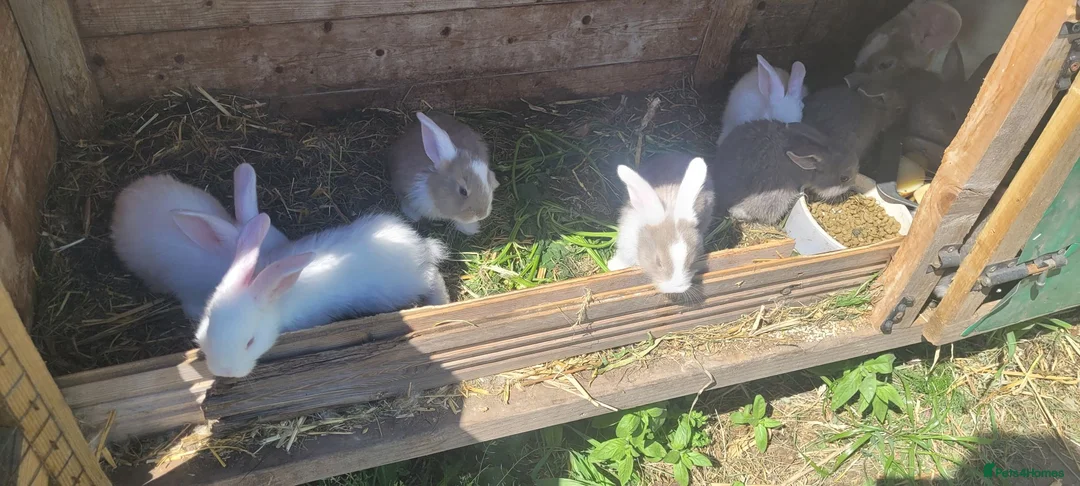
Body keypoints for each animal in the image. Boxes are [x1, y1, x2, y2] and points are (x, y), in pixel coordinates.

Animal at [195, 212, 451, 378]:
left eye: (250, 342)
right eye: (208, 327)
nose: (224, 371)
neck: (276, 300)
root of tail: (418, 247)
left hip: (403, 287)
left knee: (433, 276)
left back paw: (441, 302)